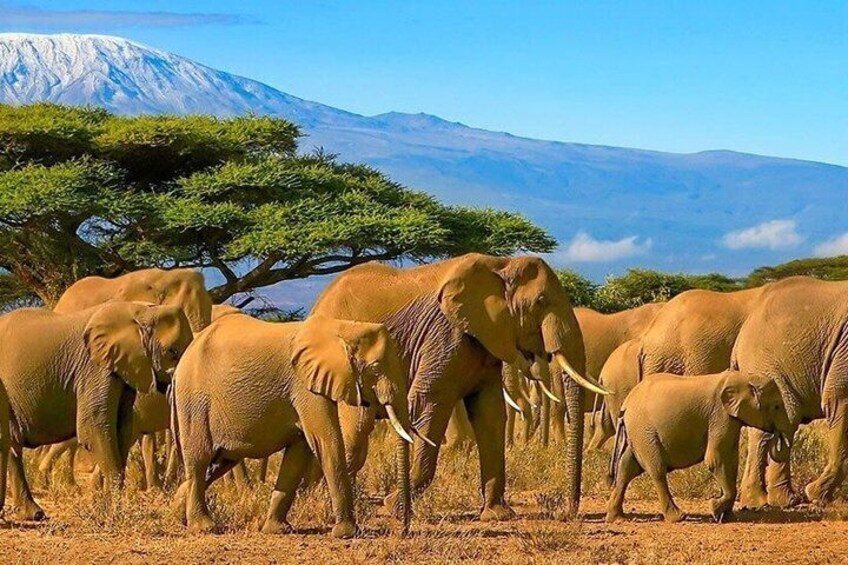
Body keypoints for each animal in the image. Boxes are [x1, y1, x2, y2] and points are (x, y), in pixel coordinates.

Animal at [1, 302, 192, 520]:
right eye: (173, 352)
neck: (142, 311)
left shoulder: (123, 370)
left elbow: (122, 430)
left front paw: (104, 509)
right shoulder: (94, 368)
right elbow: (93, 428)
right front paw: (114, 515)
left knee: (11, 444)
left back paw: (33, 514)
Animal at [172, 312, 415, 538]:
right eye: (376, 369)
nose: (404, 529)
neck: (343, 327)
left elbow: (299, 452)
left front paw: (277, 530)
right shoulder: (304, 386)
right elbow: (327, 442)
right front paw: (347, 533)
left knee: (219, 463)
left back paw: (177, 512)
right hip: (194, 402)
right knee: (200, 459)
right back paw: (204, 527)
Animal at [310, 253, 605, 519]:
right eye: (540, 302)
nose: (568, 513)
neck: (501, 264)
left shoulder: (485, 340)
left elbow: (489, 413)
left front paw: (497, 514)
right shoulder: (446, 335)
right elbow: (430, 402)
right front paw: (394, 507)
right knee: (357, 430)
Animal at [607, 371, 792, 523]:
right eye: (776, 406)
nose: (776, 434)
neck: (744, 377)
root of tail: (626, 405)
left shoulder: (730, 420)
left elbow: (731, 462)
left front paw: (727, 517)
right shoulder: (720, 415)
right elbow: (715, 459)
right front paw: (715, 509)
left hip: (637, 433)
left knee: (626, 468)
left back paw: (617, 518)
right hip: (644, 431)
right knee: (656, 470)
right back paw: (678, 517)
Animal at [733, 277, 848, 508]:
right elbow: (839, 399)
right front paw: (816, 496)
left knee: (782, 425)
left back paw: (777, 500)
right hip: (763, 365)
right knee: (778, 423)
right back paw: (771, 501)